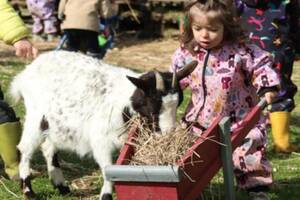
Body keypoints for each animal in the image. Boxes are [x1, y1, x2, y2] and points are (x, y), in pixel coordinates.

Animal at [8, 50, 197, 199]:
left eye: (178, 103)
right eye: (153, 105)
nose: (169, 134)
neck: (124, 102)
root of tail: (25, 74)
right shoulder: (101, 141)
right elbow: (108, 170)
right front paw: (106, 195)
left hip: (54, 123)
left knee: (48, 148)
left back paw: (61, 186)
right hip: (36, 116)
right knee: (25, 148)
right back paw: (28, 190)